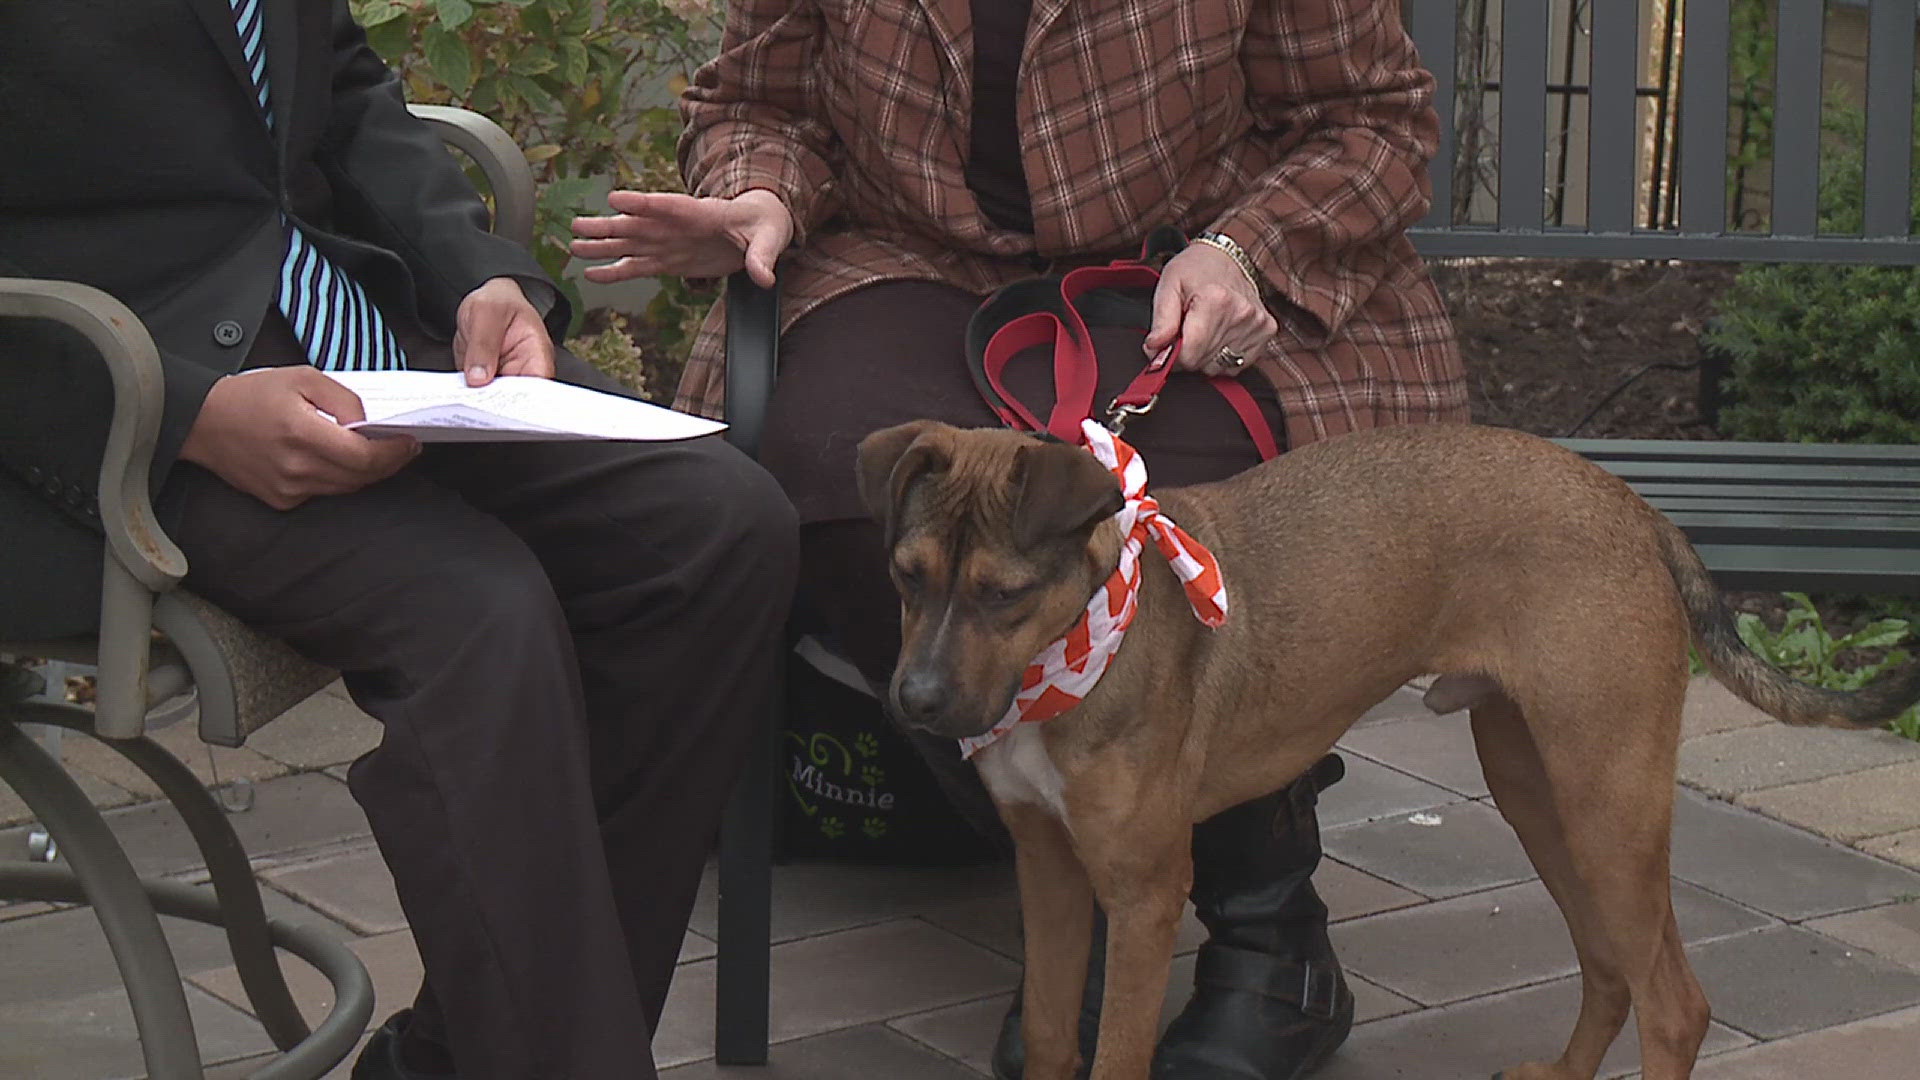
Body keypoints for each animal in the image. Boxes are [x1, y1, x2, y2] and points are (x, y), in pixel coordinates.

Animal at [864, 418, 1920, 1076]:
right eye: (905, 575)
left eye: (1003, 594)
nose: (914, 703)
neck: (1078, 650)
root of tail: (1641, 512)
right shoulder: (1048, 866)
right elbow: (1051, 1037)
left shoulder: (1143, 891)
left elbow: (1117, 1056)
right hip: (1540, 791)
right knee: (1614, 966)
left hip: (1605, 798)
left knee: (1675, 1004)